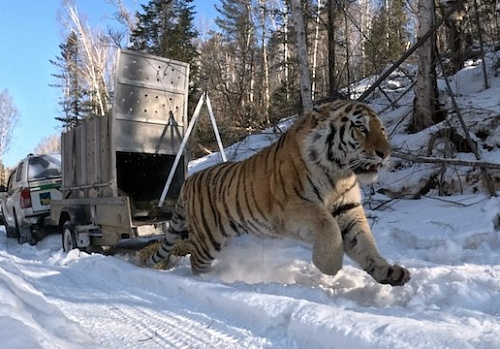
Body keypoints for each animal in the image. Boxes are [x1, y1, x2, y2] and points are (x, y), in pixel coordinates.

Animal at [141, 99, 410, 284]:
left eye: (382, 130)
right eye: (360, 128)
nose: (386, 153)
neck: (340, 173)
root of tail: (189, 180)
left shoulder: (348, 208)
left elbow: (365, 243)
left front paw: (388, 272)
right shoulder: (293, 206)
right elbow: (328, 225)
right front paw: (330, 265)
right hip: (208, 239)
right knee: (196, 261)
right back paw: (208, 280)